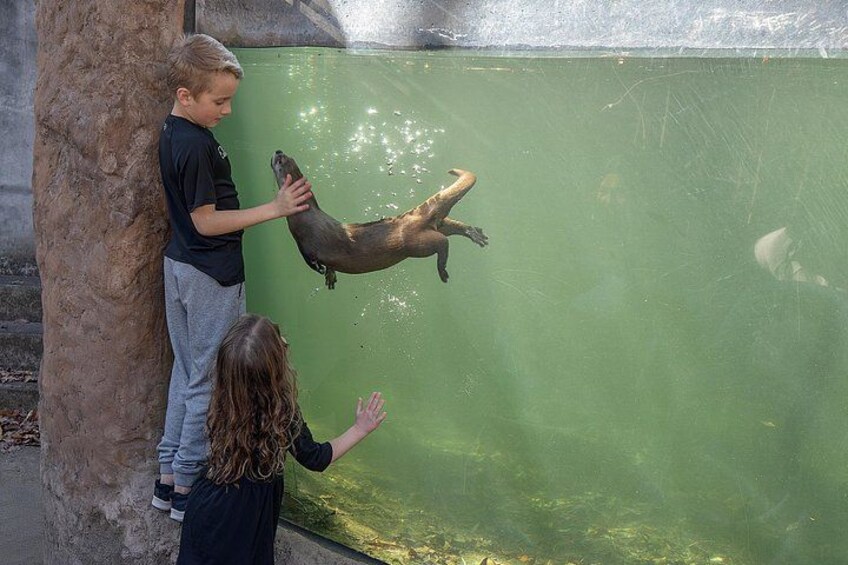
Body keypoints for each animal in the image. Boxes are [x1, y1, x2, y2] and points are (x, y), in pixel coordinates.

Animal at [271, 150, 488, 289]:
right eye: (288, 157)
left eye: (281, 161)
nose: (278, 151)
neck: (306, 214)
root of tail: (415, 215)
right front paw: (330, 276)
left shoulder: (304, 243)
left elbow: (310, 260)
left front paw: (320, 269)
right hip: (439, 225)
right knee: (452, 226)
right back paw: (476, 234)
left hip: (417, 244)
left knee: (442, 243)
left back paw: (442, 271)